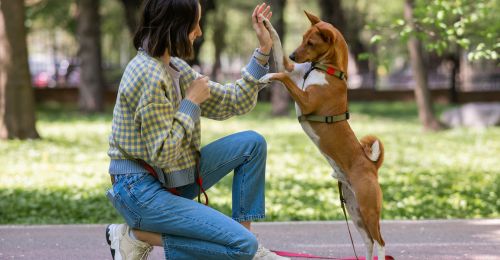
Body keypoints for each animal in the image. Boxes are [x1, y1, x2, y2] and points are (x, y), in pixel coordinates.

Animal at [260, 11, 388, 258]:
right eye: (302, 38)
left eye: (311, 43)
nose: (294, 54)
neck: (325, 70)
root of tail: (372, 165)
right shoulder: (290, 68)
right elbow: (278, 46)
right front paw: (265, 23)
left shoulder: (307, 101)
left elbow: (283, 76)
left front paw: (267, 77)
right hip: (355, 210)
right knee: (368, 242)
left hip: (368, 209)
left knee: (381, 242)